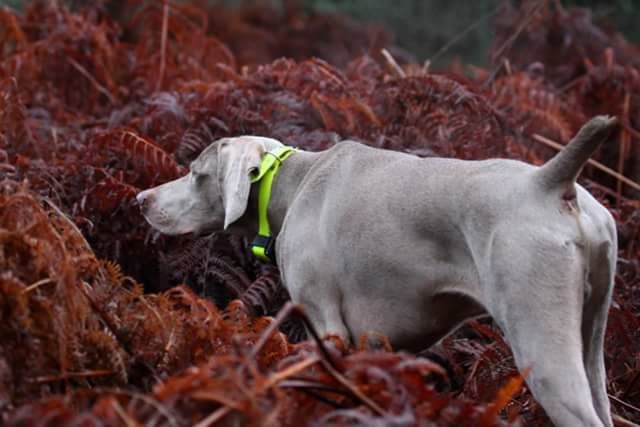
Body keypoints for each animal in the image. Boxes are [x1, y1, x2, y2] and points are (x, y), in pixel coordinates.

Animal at [136, 115, 620, 426]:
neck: (295, 180)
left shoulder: (326, 326)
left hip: (540, 340)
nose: (142, 198)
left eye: (195, 173)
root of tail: (550, 182)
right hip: (592, 339)